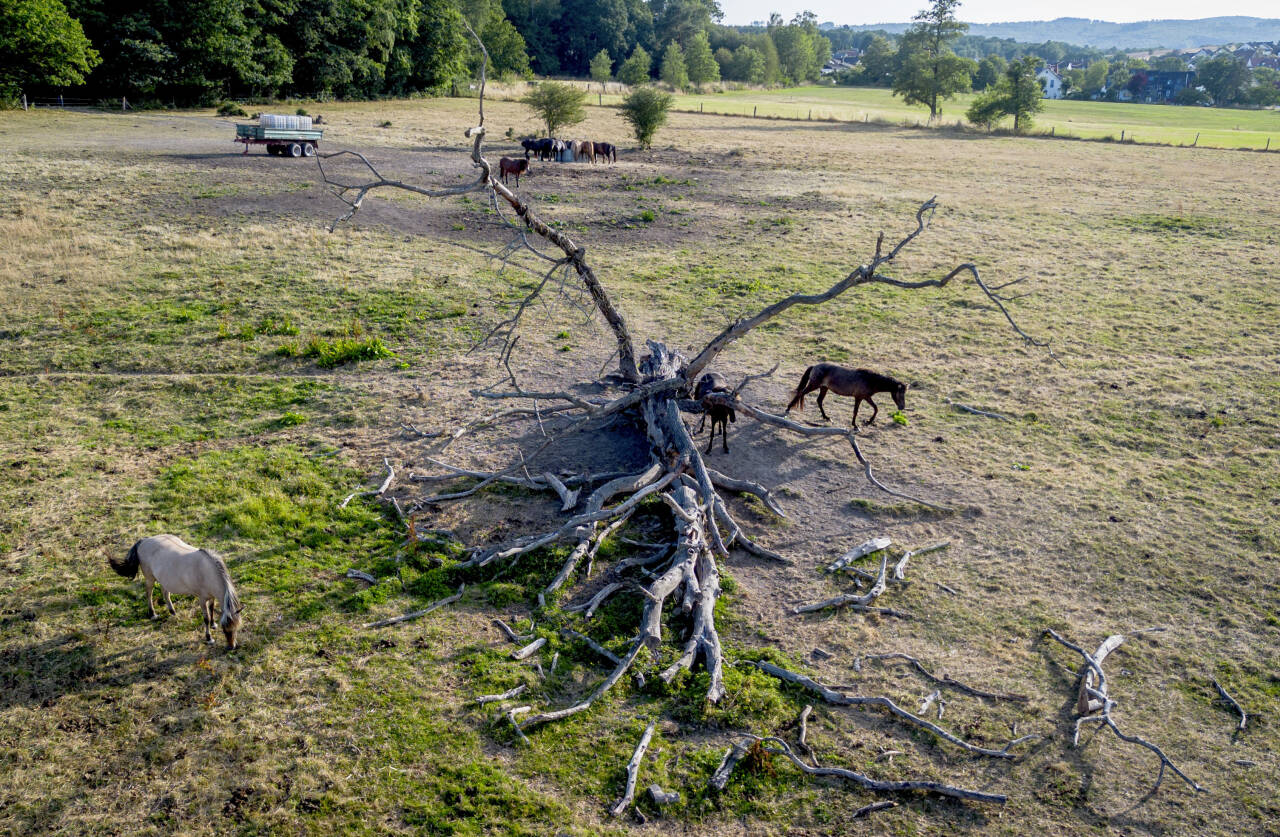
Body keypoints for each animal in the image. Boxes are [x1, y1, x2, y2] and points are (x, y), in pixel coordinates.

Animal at [110, 537, 241, 650]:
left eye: (236, 628)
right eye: (225, 629)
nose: (231, 647)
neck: (206, 571)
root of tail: (144, 540)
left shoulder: (211, 596)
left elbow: (212, 609)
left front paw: (214, 624)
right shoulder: (202, 599)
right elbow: (206, 618)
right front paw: (209, 638)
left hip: (164, 580)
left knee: (165, 593)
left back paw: (172, 612)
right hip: (150, 578)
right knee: (149, 593)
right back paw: (153, 614)